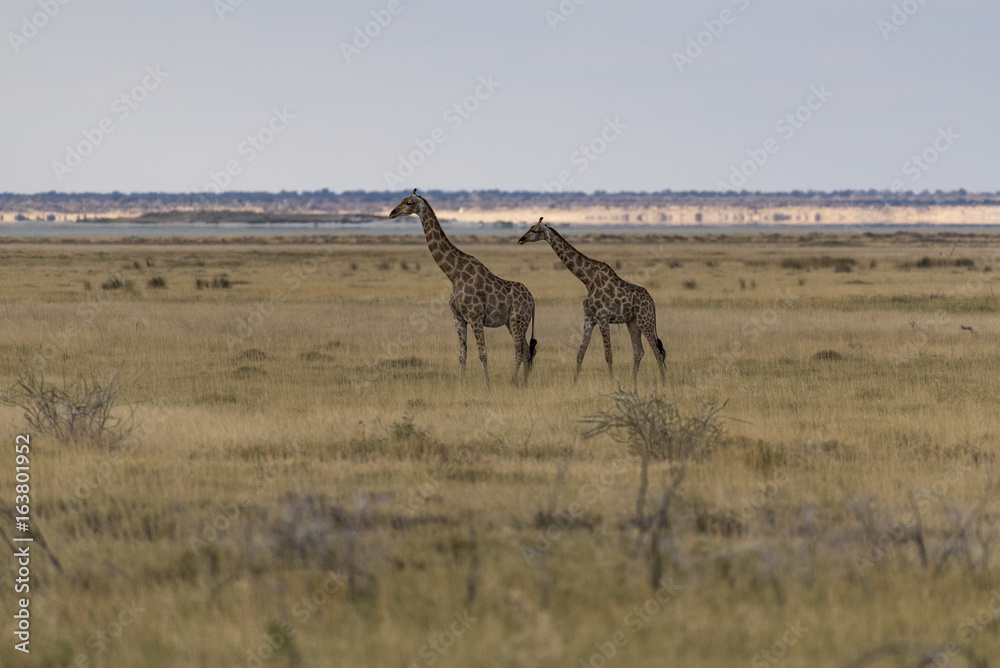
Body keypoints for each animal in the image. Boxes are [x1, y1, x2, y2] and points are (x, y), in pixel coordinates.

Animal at [389, 189, 536, 387]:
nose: (392, 213)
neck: (454, 274)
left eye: (409, 203)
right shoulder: (458, 317)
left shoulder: (475, 317)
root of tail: (533, 301)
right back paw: (525, 384)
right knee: (526, 351)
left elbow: (483, 354)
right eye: (403, 200)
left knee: (519, 351)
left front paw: (487, 386)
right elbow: (462, 355)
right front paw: (461, 385)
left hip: (517, 320)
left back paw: (513, 382)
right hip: (513, 322)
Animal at [518, 218, 666, 385]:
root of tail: (652, 302)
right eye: (530, 227)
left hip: (645, 321)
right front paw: (574, 383)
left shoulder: (603, 317)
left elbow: (608, 354)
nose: (521, 239)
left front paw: (612, 382)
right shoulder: (589, 317)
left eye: (535, 230)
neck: (588, 279)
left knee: (657, 351)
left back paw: (663, 382)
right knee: (639, 351)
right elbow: (580, 353)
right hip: (633, 322)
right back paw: (633, 382)